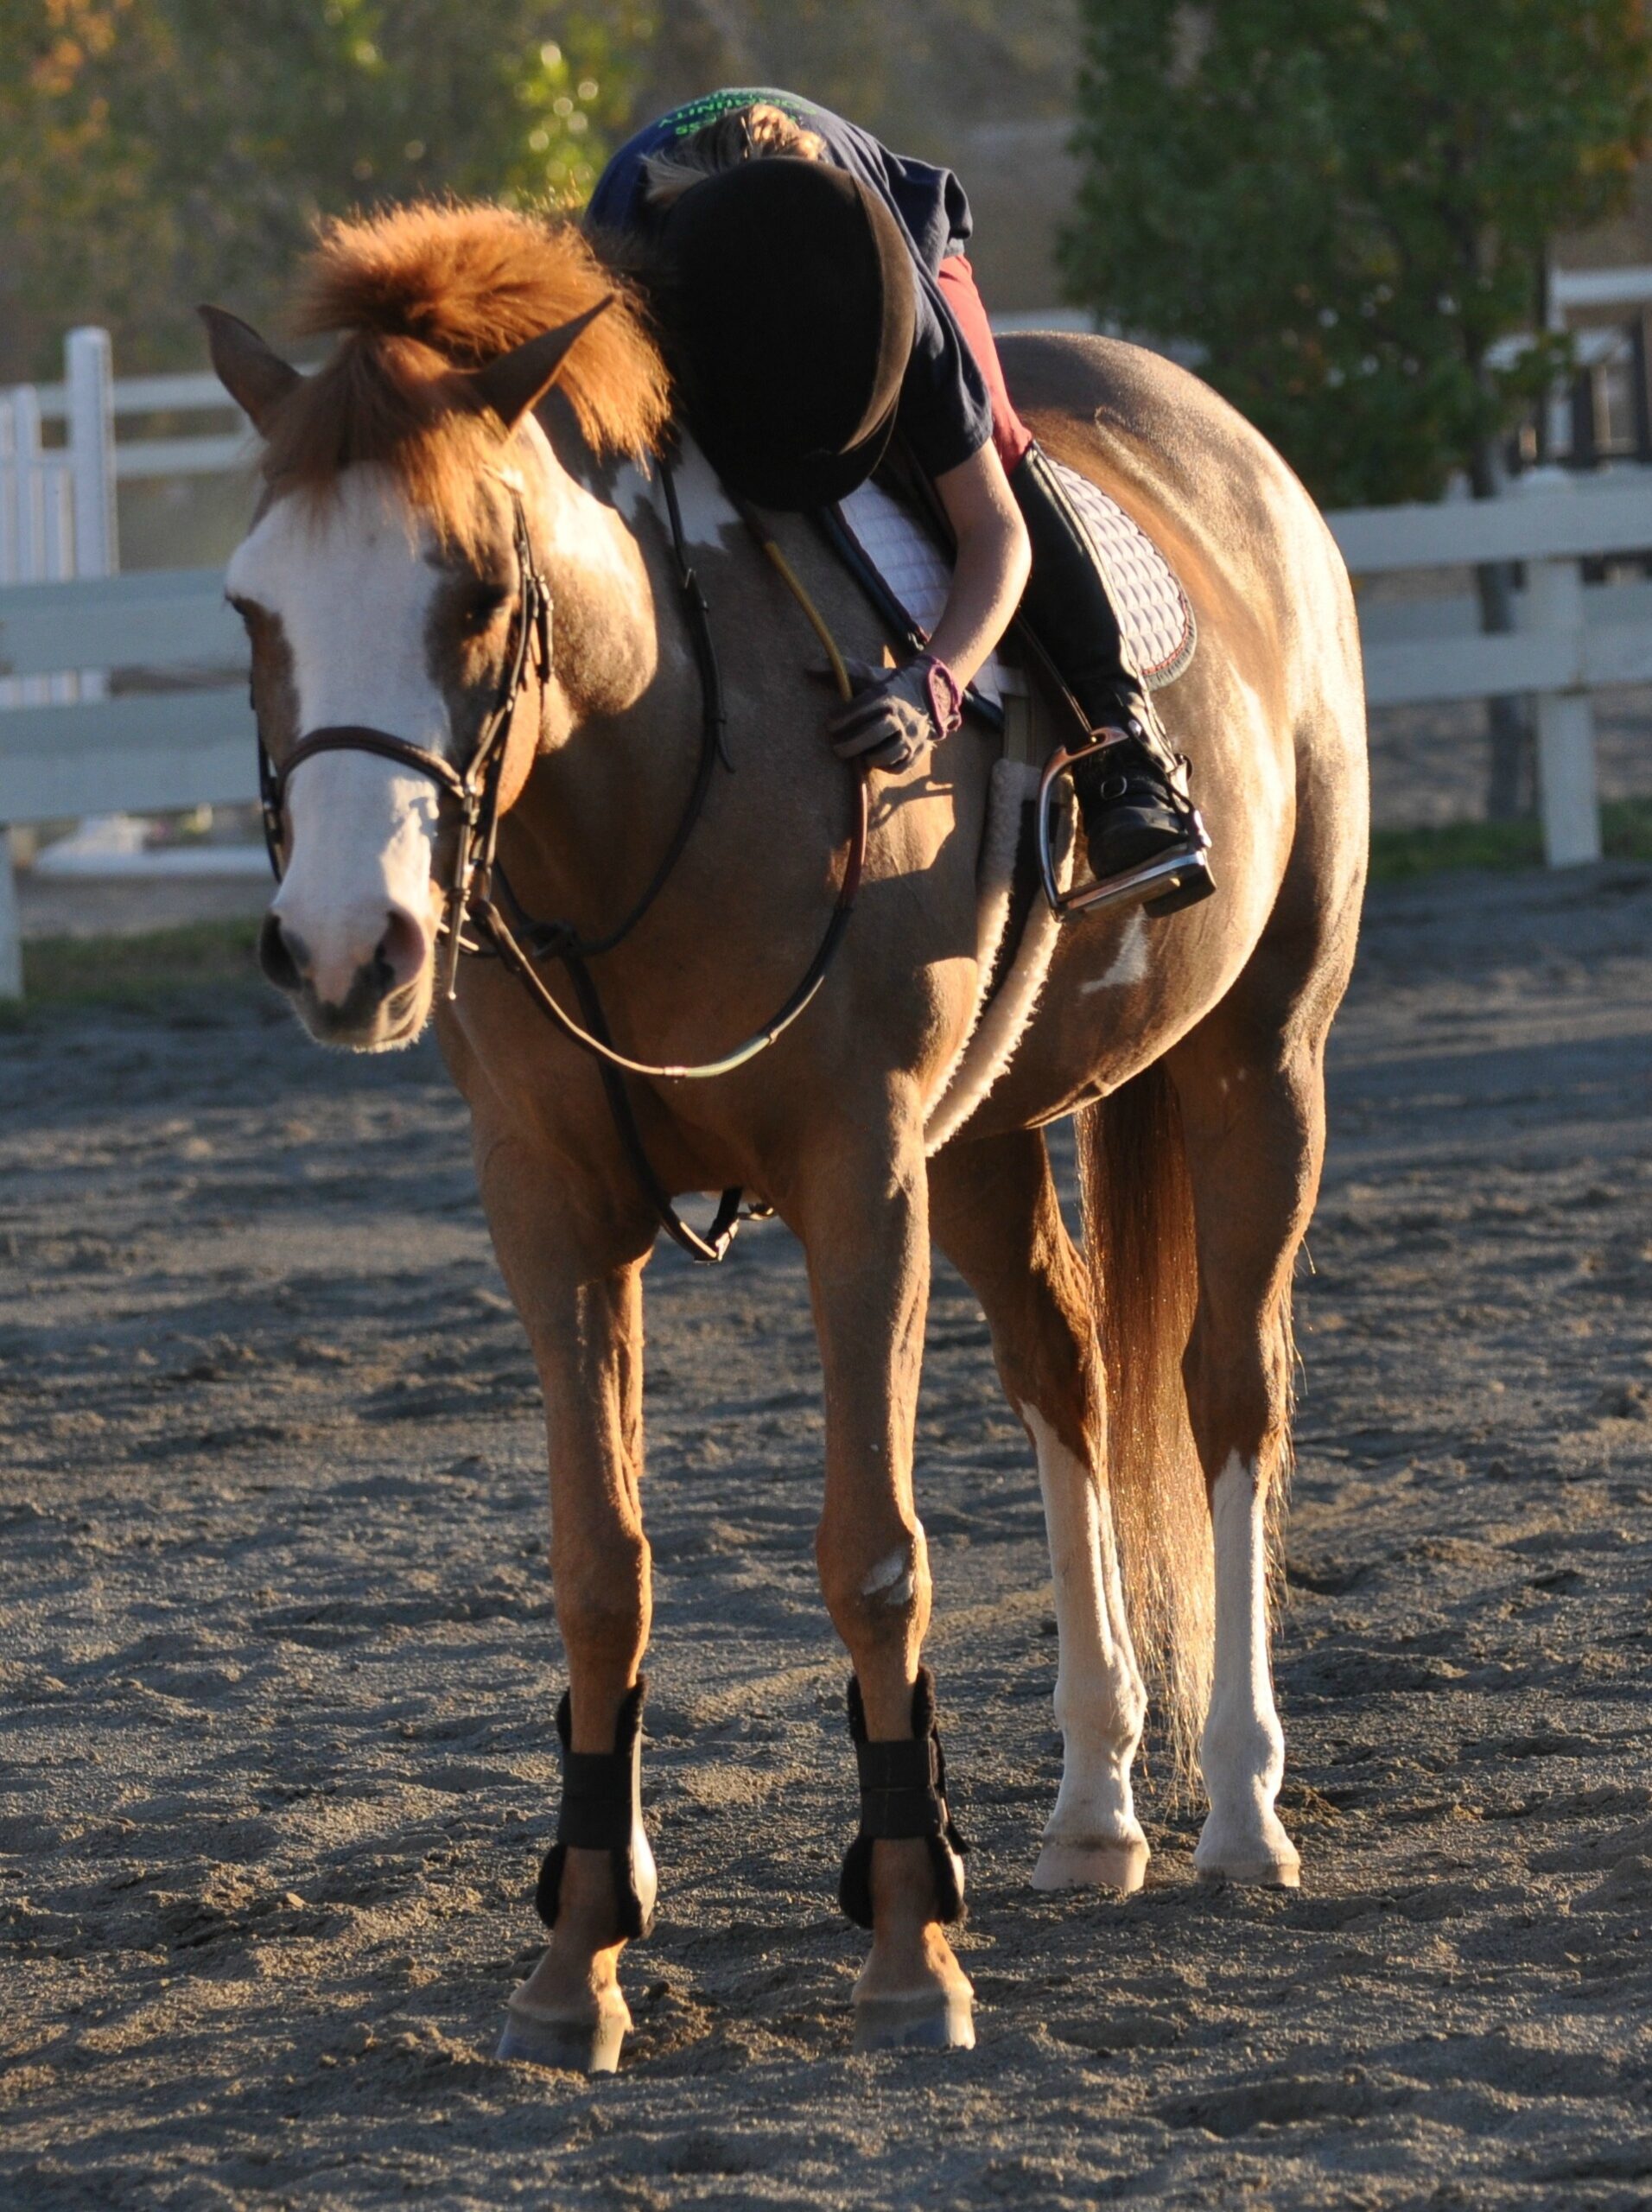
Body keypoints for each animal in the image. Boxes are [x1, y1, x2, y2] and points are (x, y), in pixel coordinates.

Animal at [204, 200, 1367, 2069]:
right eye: (254, 603)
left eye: (477, 592)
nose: (339, 946)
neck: (657, 778)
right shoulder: (552, 1213)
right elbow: (599, 1571)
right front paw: (576, 1965)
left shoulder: (857, 1186)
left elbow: (872, 1555)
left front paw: (909, 1950)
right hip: (988, 1144)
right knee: (1069, 1383)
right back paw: (1093, 1804)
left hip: (1260, 1065)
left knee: (1223, 1391)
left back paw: (1242, 1810)